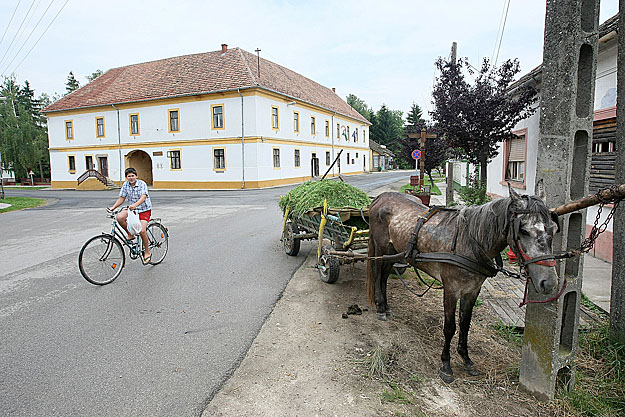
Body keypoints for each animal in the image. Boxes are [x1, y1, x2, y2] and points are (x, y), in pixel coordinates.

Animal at [364, 180, 560, 382]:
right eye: (523, 230)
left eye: (553, 229)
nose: (549, 282)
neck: (470, 243)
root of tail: (380, 198)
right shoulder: (451, 290)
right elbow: (450, 327)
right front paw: (446, 364)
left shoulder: (472, 291)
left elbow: (465, 325)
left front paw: (466, 359)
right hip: (381, 248)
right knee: (377, 274)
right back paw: (380, 307)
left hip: (394, 250)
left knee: (384, 277)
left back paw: (386, 307)